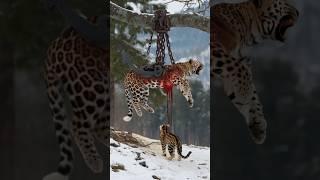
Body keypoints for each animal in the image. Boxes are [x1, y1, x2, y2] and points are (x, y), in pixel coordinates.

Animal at [211, 0, 298, 144]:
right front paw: (244, 95)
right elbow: (244, 81)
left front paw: (258, 125)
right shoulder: (217, 50)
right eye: (286, 2)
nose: (298, 12)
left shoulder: (234, 71)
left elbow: (253, 95)